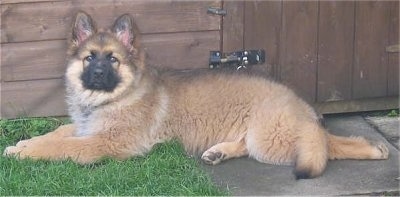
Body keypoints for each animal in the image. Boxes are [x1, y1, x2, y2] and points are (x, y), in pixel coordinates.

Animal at [3, 11, 390, 179]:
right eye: (89, 58)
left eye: (112, 59)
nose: (97, 75)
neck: (114, 98)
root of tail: (300, 104)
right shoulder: (87, 128)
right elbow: (57, 132)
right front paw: (23, 144)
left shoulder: (106, 142)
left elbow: (62, 147)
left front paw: (25, 153)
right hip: (263, 135)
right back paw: (218, 153)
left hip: (271, 137)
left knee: (327, 144)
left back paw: (374, 148)